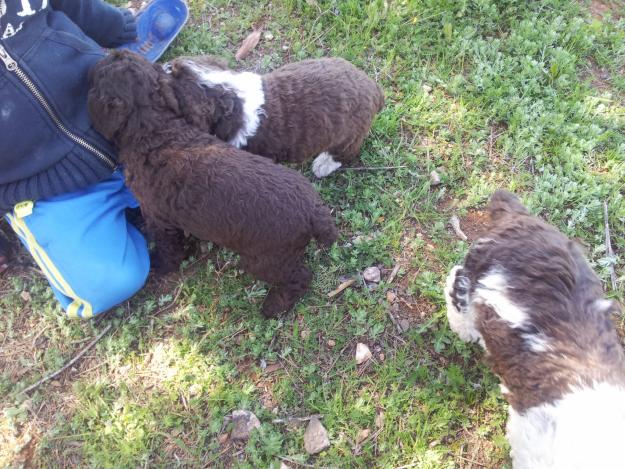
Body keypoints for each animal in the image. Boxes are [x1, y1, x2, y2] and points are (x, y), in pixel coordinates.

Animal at [86, 50, 336, 318]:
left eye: (99, 75)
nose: (114, 51)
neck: (155, 129)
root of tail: (314, 212)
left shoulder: (158, 218)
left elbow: (168, 248)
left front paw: (160, 265)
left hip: (266, 260)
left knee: (300, 277)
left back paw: (274, 306)